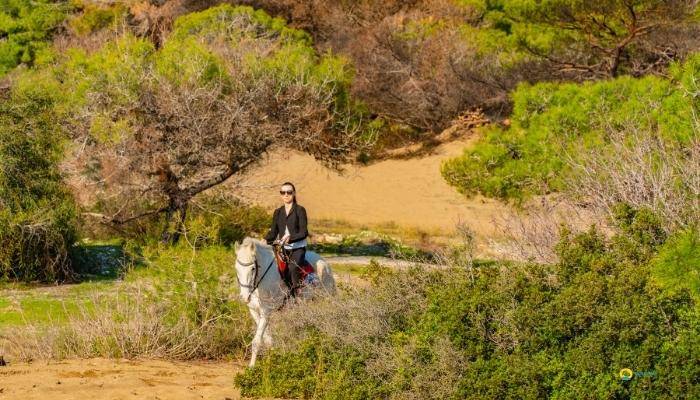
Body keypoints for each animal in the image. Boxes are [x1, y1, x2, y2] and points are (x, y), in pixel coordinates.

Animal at [234, 237, 336, 367]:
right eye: (236, 268)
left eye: (253, 268)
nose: (245, 297)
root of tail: (325, 263)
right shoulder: (254, 311)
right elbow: (267, 339)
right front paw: (272, 356)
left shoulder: (266, 312)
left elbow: (257, 341)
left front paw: (252, 367)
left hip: (326, 299)